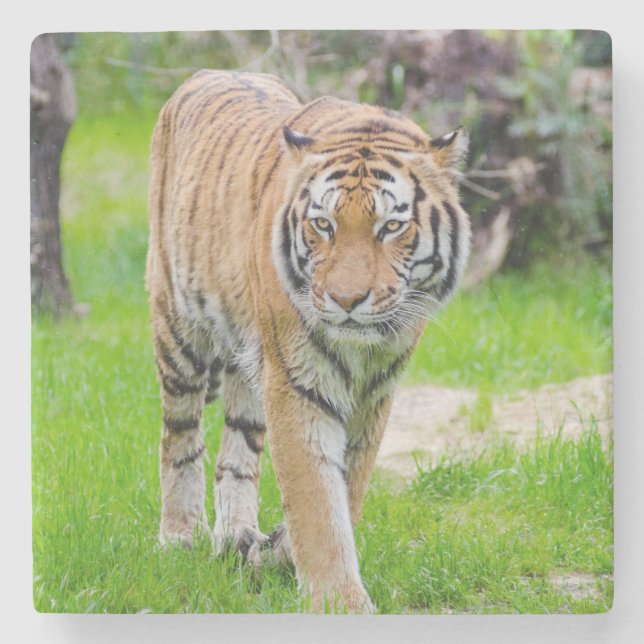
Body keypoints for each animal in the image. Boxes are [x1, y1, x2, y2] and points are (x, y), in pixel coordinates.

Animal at [145, 69, 470, 613]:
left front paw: (276, 553)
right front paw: (339, 602)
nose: (346, 299)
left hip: (250, 367)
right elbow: (316, 497)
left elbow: (346, 489)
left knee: (237, 452)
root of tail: (206, 74)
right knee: (180, 435)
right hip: (179, 329)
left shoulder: (374, 393)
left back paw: (235, 536)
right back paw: (180, 537)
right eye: (324, 224)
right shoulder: (298, 383)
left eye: (391, 226)